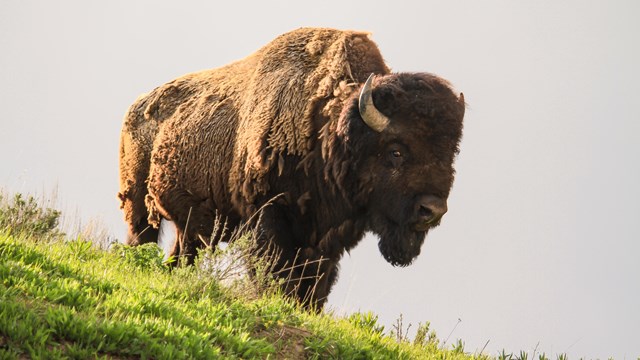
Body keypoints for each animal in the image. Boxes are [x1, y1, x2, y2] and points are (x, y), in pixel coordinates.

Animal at [117, 28, 464, 310]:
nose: (432, 210)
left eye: (451, 155)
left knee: (182, 253)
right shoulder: (269, 216)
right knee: (142, 236)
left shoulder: (326, 241)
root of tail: (136, 107)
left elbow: (315, 286)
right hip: (137, 204)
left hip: (193, 228)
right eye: (396, 151)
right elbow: (274, 270)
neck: (329, 130)